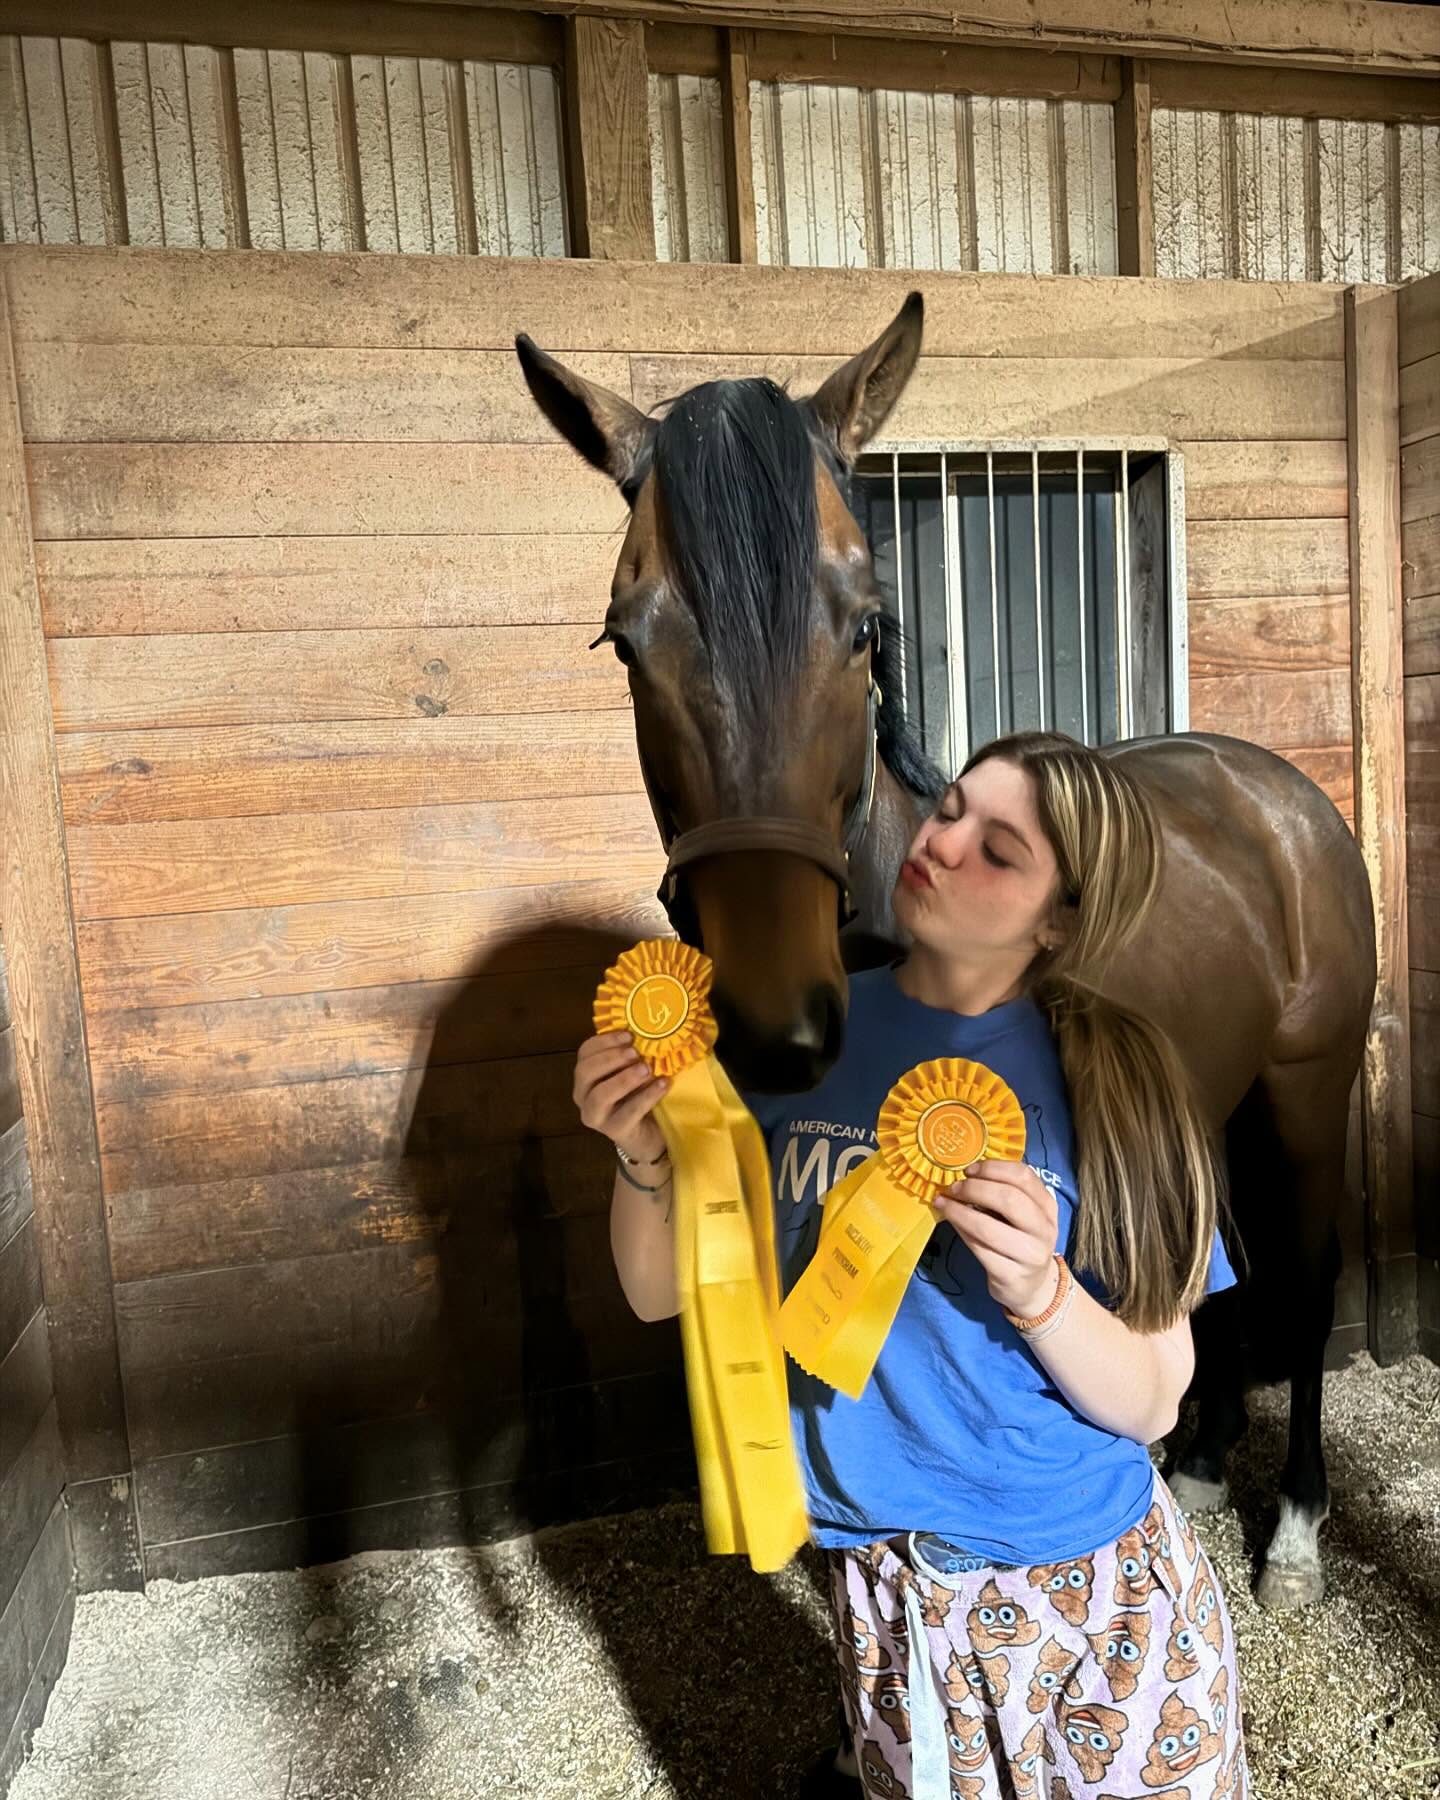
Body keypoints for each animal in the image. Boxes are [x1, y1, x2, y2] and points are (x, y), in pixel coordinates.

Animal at [515, 293, 1376, 1615]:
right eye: (623, 641)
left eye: (868, 626)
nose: (778, 1027)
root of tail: (1279, 794)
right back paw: (1197, 1461)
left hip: (1307, 1092)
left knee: (1308, 1273)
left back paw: (1291, 1533)